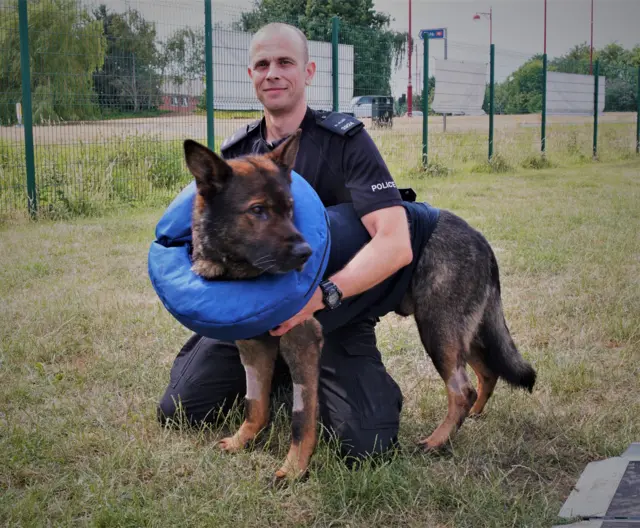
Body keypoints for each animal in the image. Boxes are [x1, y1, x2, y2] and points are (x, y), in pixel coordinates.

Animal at [182, 131, 536, 482]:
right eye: (258, 210)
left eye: (290, 209)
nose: (307, 253)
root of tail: (480, 239)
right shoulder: (253, 348)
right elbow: (254, 402)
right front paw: (242, 440)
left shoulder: (302, 345)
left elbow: (301, 418)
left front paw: (294, 470)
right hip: (460, 332)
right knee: (487, 371)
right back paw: (473, 416)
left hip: (438, 331)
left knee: (461, 390)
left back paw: (437, 441)